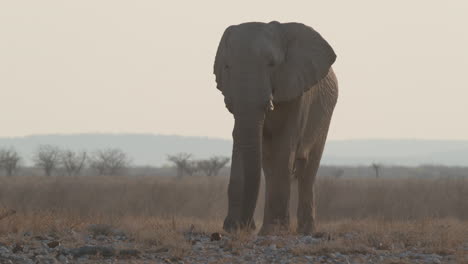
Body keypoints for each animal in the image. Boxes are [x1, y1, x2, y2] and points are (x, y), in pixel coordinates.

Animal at [214, 21, 338, 235]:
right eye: (227, 66)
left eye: (272, 64)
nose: (247, 225)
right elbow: (240, 142)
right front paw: (232, 228)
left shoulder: (297, 90)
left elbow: (284, 148)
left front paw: (274, 230)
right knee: (269, 165)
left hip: (325, 114)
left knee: (307, 170)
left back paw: (305, 231)